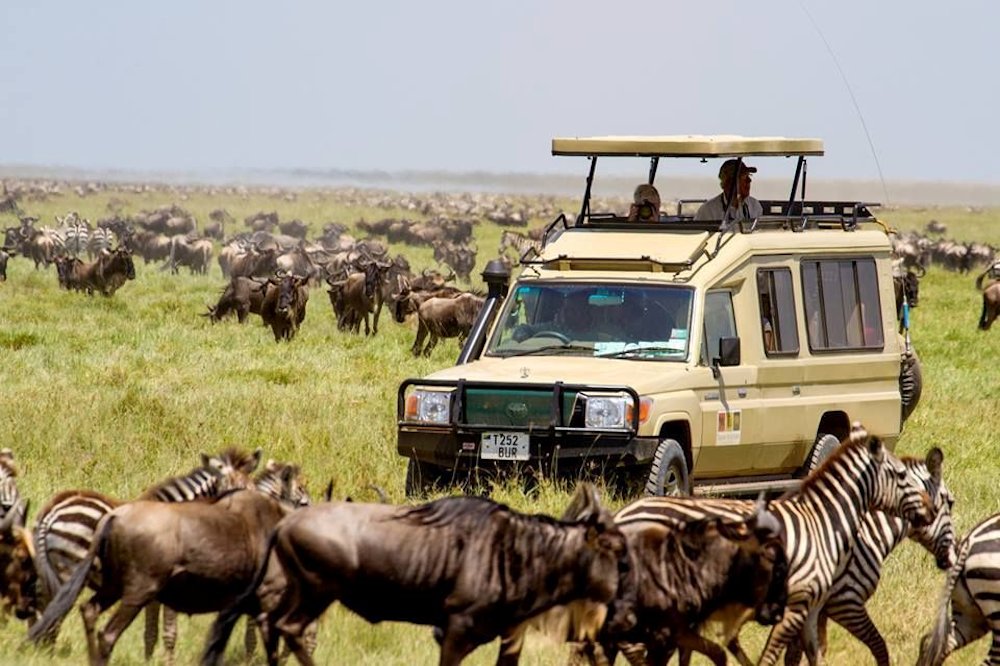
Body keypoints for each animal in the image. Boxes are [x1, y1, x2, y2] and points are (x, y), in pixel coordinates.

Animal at [31, 444, 264, 644]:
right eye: (231, 492)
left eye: (252, 489)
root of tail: (53, 508)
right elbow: (165, 630)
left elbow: (151, 631)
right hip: (69, 568)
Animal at [608, 426, 936, 664]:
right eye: (901, 476)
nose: (930, 510)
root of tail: (623, 515)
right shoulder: (836, 600)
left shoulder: (813, 605)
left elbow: (805, 651)